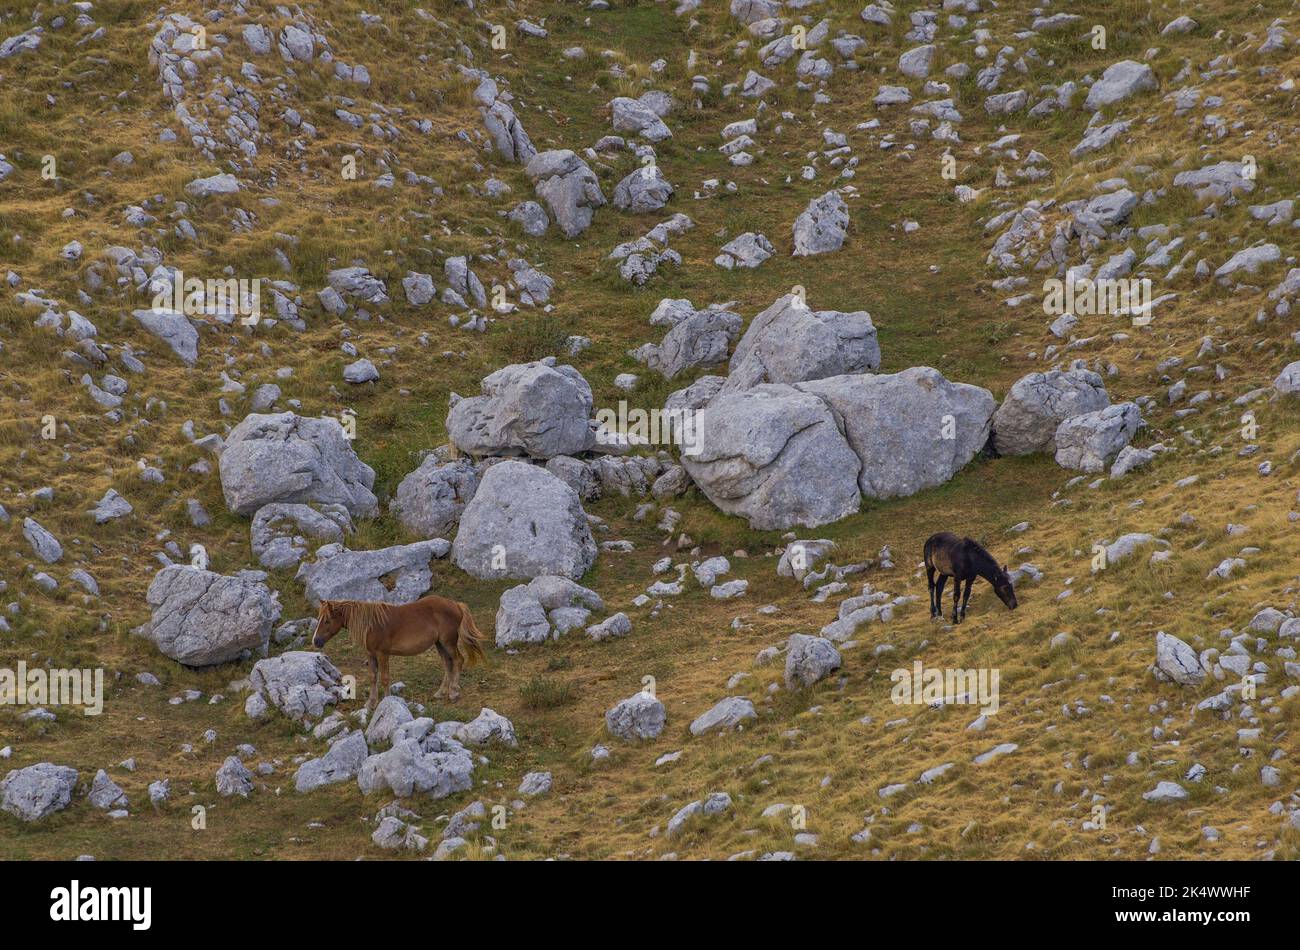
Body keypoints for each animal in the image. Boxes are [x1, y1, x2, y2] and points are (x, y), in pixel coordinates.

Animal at [310, 597, 488, 712]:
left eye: (327, 620)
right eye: (319, 618)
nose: (315, 641)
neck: (372, 624)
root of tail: (456, 604)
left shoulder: (383, 654)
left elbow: (384, 678)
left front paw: (386, 702)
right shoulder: (371, 655)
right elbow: (373, 677)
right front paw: (370, 704)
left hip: (448, 642)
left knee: (458, 660)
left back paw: (454, 692)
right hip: (439, 644)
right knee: (448, 664)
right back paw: (441, 692)